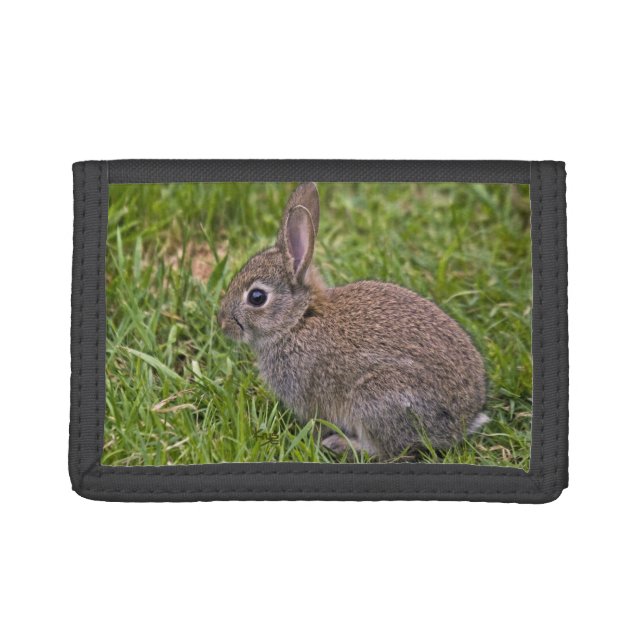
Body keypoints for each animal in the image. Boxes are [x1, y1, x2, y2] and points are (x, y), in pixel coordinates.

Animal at [218, 182, 488, 459]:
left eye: (257, 297)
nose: (223, 323)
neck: (297, 320)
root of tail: (462, 422)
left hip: (376, 400)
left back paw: (339, 444)